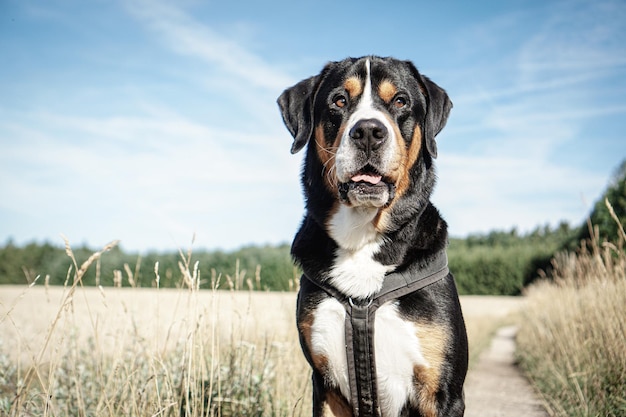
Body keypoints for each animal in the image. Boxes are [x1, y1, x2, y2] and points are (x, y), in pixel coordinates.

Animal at [276, 56, 464, 416]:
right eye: (339, 101)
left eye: (401, 101)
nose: (367, 132)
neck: (361, 237)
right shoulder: (325, 384)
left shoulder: (442, 390)